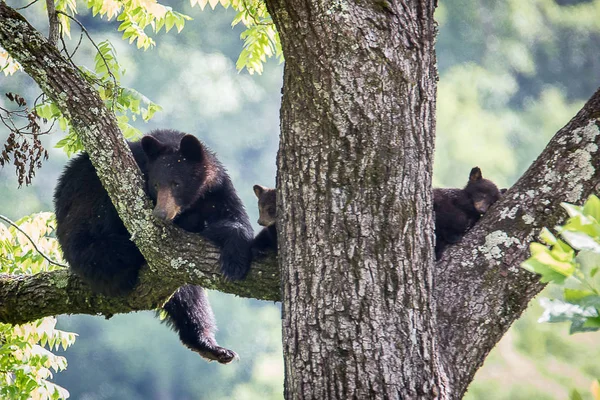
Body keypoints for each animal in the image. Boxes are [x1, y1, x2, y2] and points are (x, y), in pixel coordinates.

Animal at [54, 129, 253, 362]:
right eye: (156, 184)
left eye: (177, 183)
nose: (161, 213)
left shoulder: (217, 190)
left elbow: (235, 219)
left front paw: (235, 260)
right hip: (86, 235)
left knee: (188, 296)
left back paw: (210, 346)